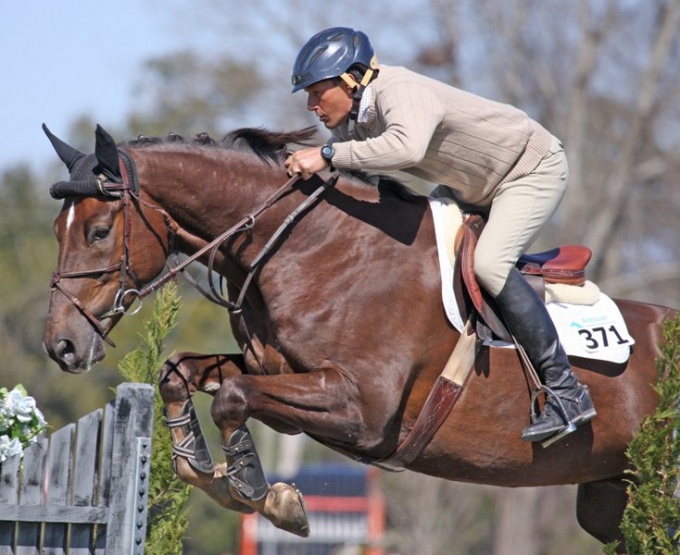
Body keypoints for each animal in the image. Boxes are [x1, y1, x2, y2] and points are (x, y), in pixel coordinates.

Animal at [41, 122, 676, 552]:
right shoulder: (278, 372)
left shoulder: (363, 409)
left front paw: (264, 495)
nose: (60, 346)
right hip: (610, 495)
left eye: (99, 232)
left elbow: (232, 398)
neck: (308, 245)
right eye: (57, 230)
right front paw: (205, 469)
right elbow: (180, 374)